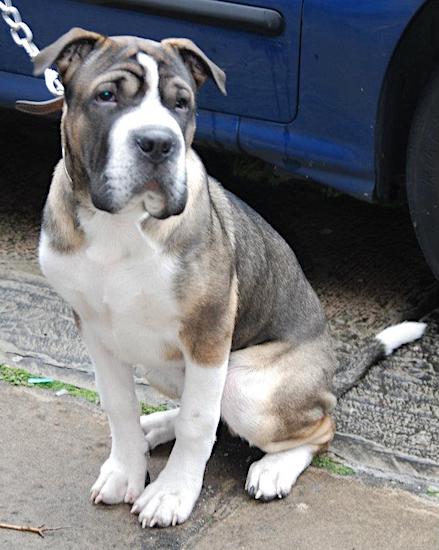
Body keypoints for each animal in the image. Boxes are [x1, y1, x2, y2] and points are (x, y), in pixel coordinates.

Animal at [24, 29, 426, 532]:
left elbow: (198, 421)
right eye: (107, 95)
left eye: (182, 103)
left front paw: (172, 493)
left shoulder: (208, 332)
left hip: (247, 385)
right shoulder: (96, 330)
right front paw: (126, 470)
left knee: (317, 428)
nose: (158, 143)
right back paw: (155, 426)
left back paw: (274, 468)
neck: (122, 225)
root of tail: (330, 376)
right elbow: (119, 406)